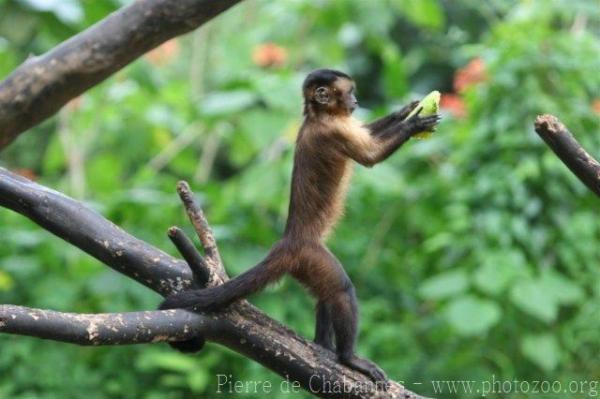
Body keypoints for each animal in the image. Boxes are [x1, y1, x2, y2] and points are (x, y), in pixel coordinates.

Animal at [159, 69, 440, 384]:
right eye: (350, 91)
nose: (356, 101)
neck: (317, 116)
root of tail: (287, 242)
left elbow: (368, 132)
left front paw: (405, 110)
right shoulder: (334, 131)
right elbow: (370, 157)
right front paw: (413, 123)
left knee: (325, 294)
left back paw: (324, 347)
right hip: (309, 257)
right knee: (340, 290)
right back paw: (348, 357)